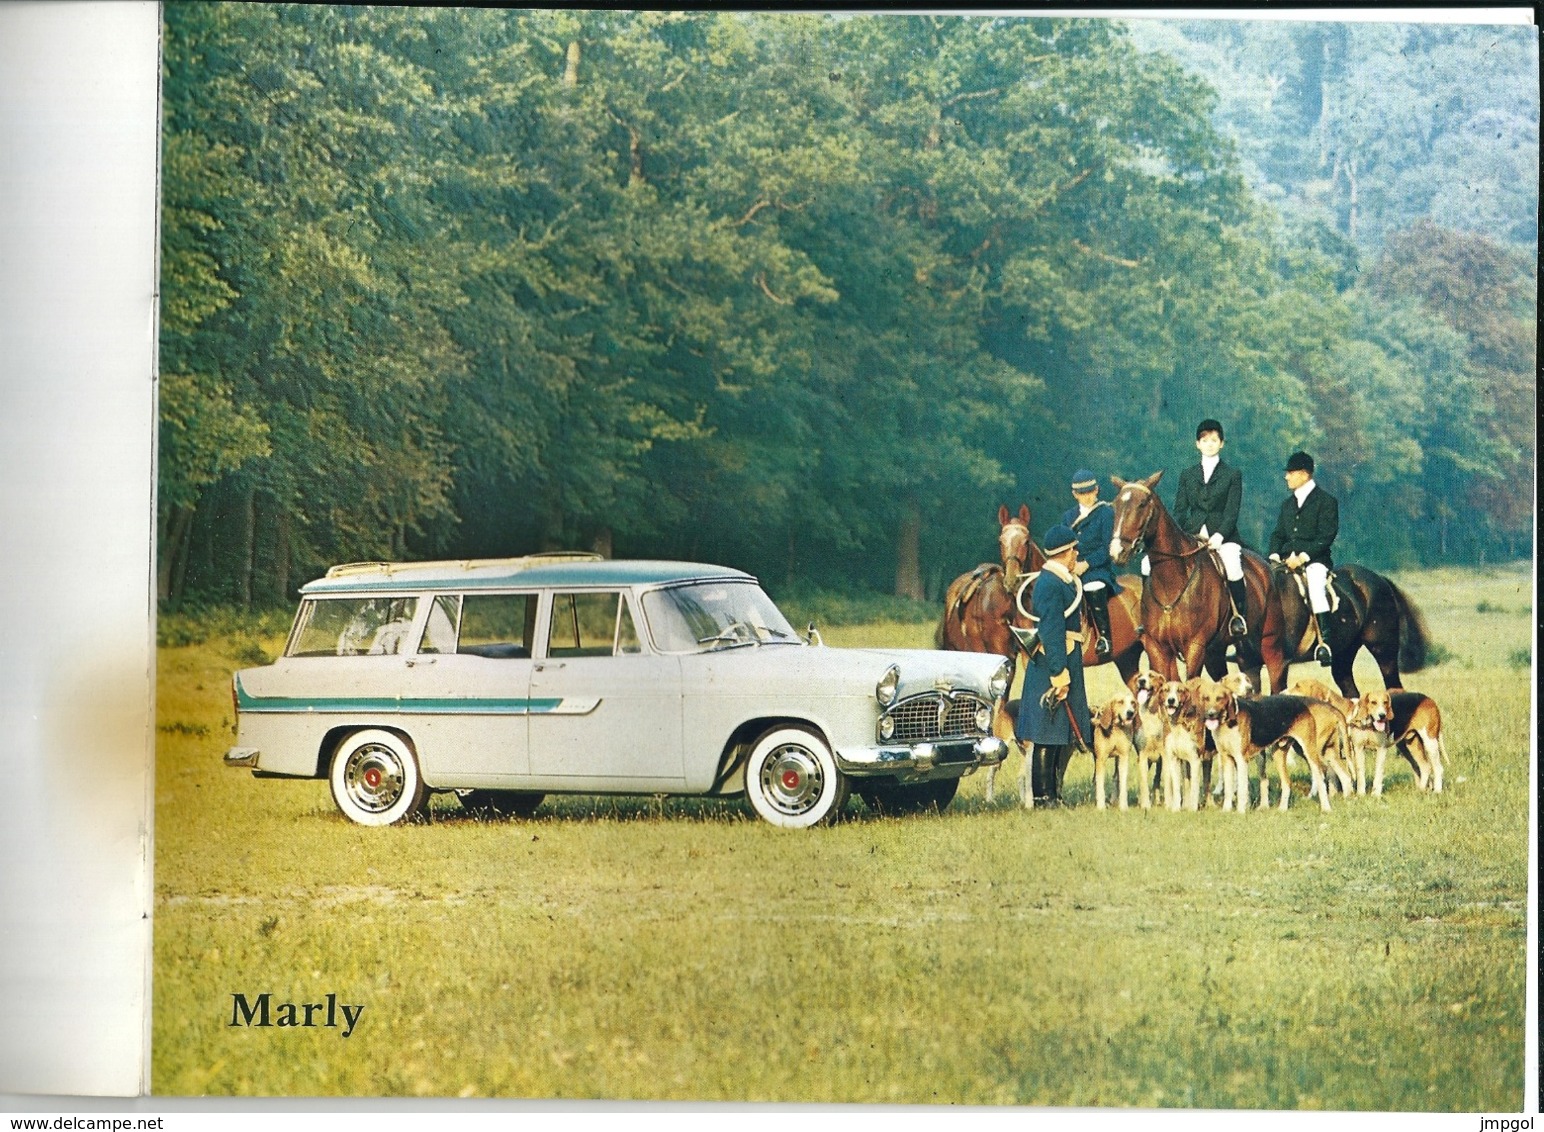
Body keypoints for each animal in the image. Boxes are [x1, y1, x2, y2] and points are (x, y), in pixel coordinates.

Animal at [1111, 469, 1290, 698]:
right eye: (1116, 504)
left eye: (1142, 504)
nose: (1117, 552)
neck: (1171, 583)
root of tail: (1264, 565)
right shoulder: (1157, 647)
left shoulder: (1195, 646)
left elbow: (1190, 686)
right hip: (1219, 652)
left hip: (1270, 642)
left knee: (1277, 681)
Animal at [1272, 559, 1426, 698]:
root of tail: (1380, 579)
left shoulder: (1281, 662)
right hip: (1345, 653)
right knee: (1351, 692)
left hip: (1383, 650)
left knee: (1394, 685)